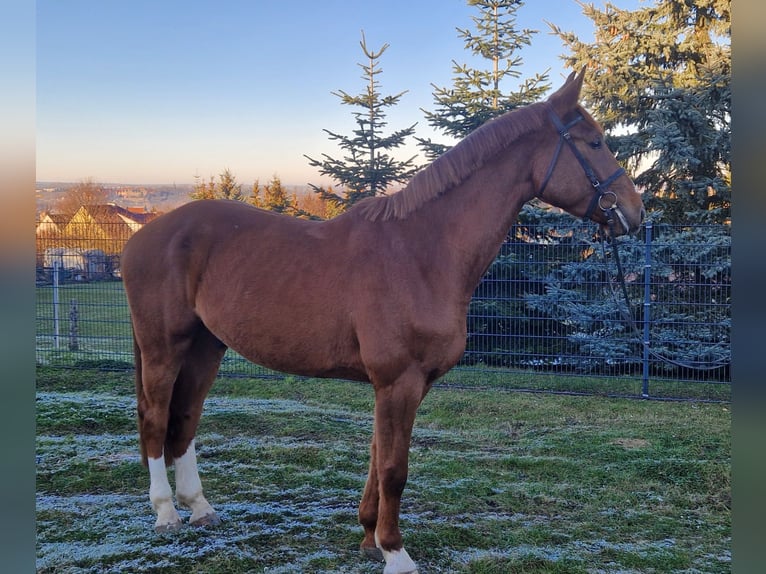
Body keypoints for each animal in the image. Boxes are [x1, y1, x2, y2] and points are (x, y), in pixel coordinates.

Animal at [121, 71, 648, 574]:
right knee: (156, 417)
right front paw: (395, 553)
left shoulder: (398, 386)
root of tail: (144, 235)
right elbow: (395, 468)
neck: (421, 251)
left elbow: (377, 460)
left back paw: (199, 507)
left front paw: (368, 539)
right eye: (594, 142)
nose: (635, 211)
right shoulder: (399, 381)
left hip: (206, 346)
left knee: (185, 420)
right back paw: (166, 512)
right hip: (164, 346)